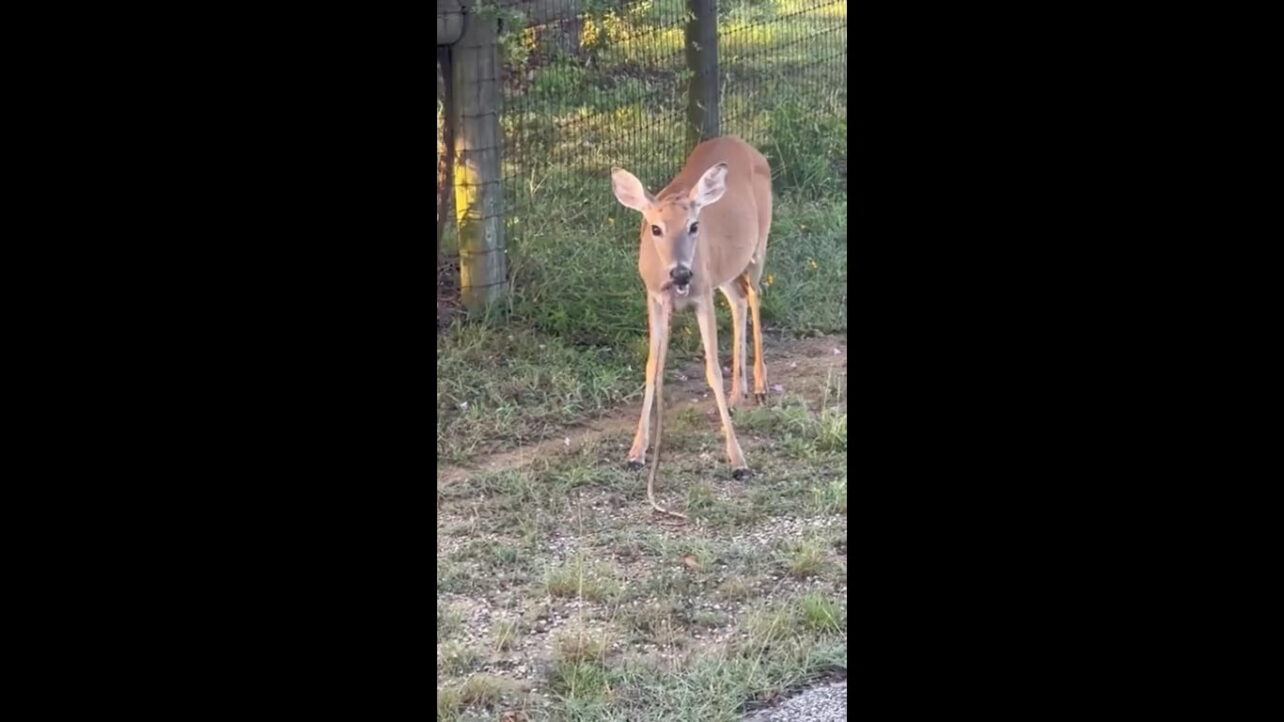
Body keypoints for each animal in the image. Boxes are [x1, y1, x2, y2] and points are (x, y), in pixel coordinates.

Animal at [611, 134, 770, 516]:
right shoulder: (655, 297)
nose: (682, 273)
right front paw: (636, 453)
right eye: (655, 228)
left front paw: (739, 462)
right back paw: (737, 394)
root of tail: (744, 144)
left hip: (758, 246)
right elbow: (652, 366)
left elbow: (711, 369)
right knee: (739, 300)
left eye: (694, 226)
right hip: (724, 272)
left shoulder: (701, 296)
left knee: (755, 296)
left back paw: (760, 386)